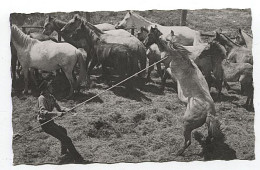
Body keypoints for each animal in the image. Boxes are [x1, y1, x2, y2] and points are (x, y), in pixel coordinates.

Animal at [143, 26, 222, 155]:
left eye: (149, 34)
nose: (144, 43)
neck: (179, 57)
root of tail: (208, 112)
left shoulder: (169, 67)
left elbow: (164, 74)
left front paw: (162, 86)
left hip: (187, 125)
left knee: (188, 141)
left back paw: (179, 151)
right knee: (209, 137)